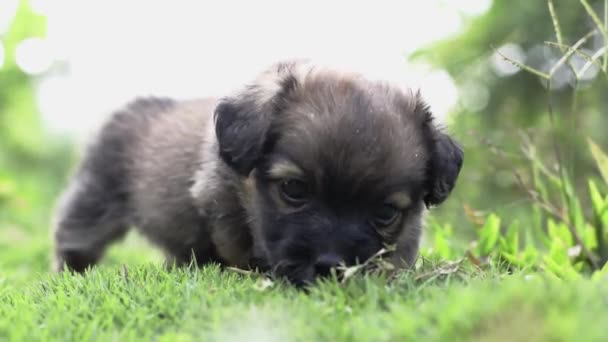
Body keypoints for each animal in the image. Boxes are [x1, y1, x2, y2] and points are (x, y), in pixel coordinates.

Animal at [52, 60, 464, 284]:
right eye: (294, 189)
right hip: (94, 200)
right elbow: (238, 242)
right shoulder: (220, 202)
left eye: (385, 212)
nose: (330, 265)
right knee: (75, 240)